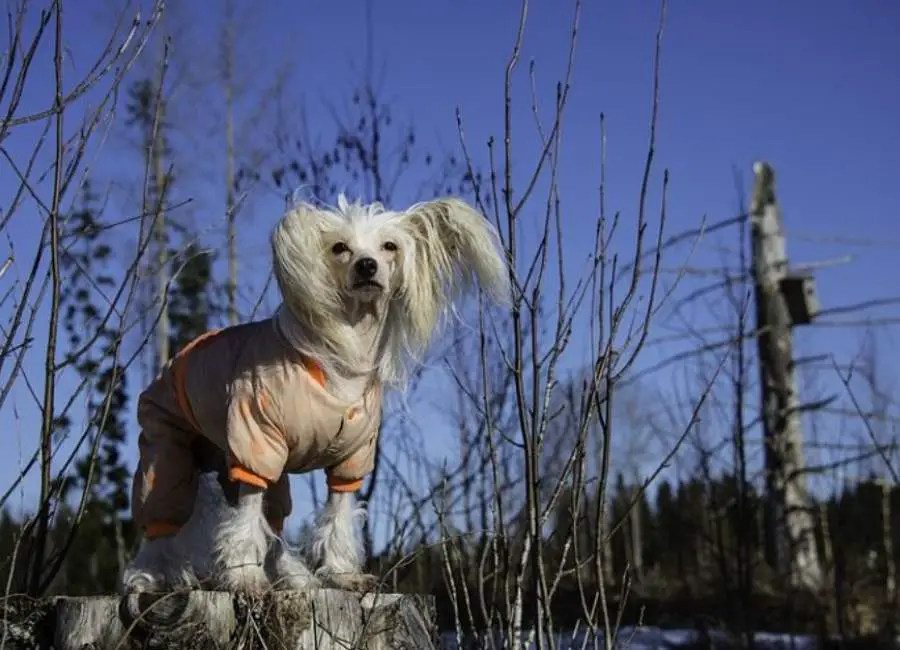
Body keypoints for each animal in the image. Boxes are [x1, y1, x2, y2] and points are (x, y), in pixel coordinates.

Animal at [119, 195, 510, 596]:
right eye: (340, 248)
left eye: (389, 246)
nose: (366, 265)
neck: (346, 356)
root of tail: (172, 362)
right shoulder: (255, 444)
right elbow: (246, 517)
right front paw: (244, 576)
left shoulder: (352, 459)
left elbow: (337, 514)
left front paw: (340, 573)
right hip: (167, 450)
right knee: (161, 523)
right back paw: (149, 576)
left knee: (273, 525)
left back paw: (292, 576)